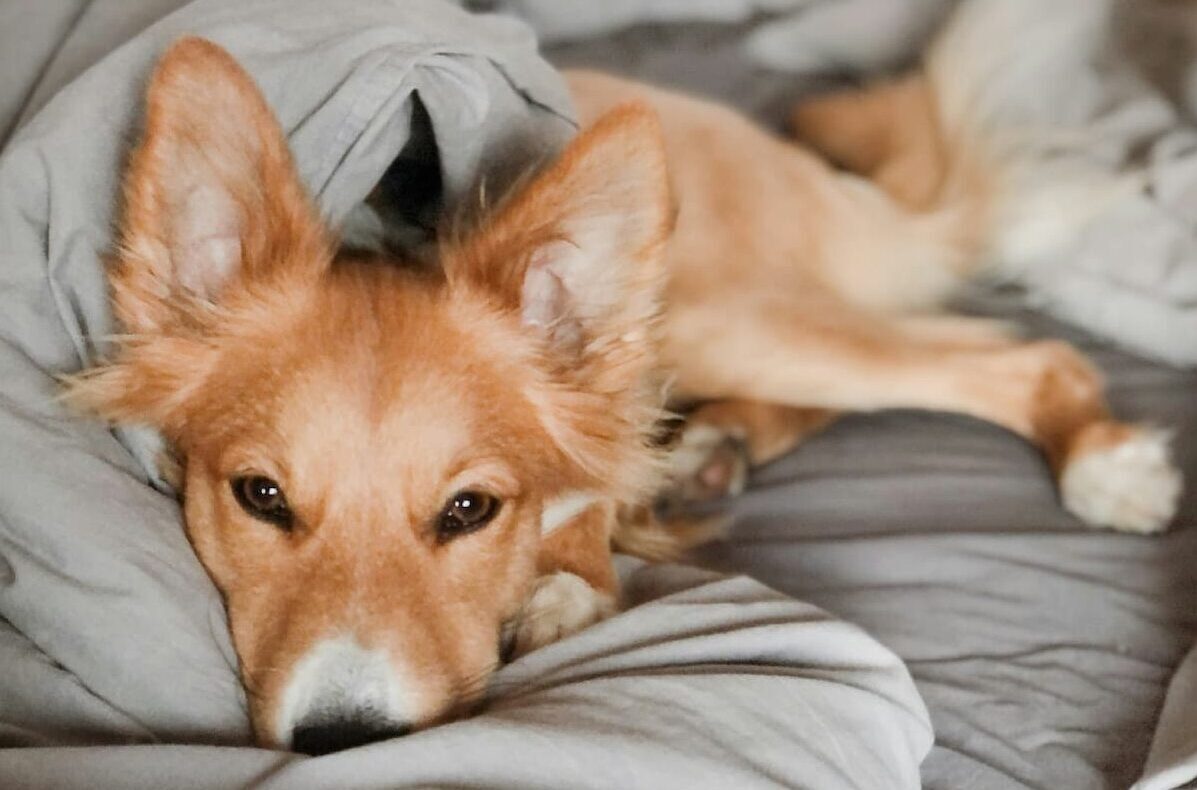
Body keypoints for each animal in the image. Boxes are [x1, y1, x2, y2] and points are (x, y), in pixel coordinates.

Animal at [70, 0, 1182, 756]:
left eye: (470, 510)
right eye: (260, 496)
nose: (343, 742)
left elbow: (590, 479)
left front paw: (567, 581)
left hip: (717, 311)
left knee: (1015, 354)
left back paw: (1103, 462)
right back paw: (710, 451)